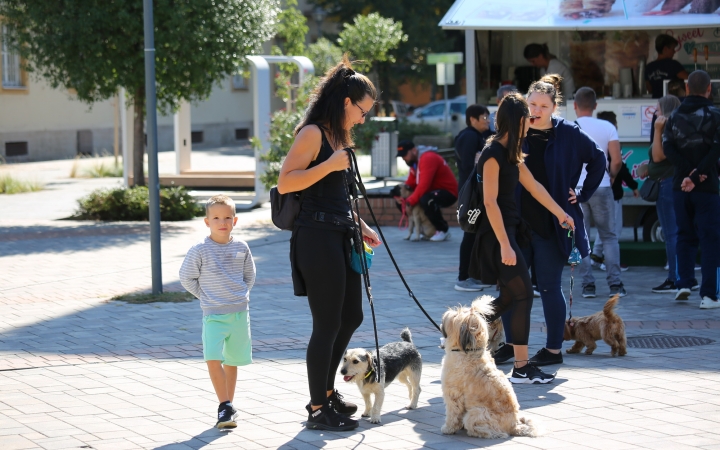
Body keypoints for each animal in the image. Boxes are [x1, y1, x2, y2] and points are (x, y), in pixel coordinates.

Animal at [438, 298, 540, 438]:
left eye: (455, 316)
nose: (447, 312)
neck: (469, 352)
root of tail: (514, 425)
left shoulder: (453, 394)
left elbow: (453, 414)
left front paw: (448, 428)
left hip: (476, 412)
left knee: (490, 430)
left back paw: (477, 432)